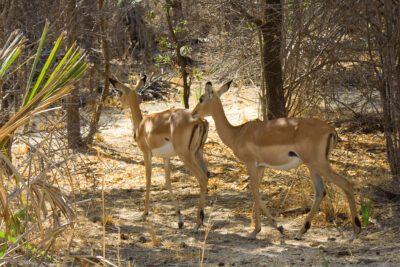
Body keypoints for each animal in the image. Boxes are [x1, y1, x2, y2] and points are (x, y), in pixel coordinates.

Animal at [109, 76, 209, 230]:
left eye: (121, 93)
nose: (119, 106)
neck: (142, 125)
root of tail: (199, 120)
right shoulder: (166, 158)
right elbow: (167, 182)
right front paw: (179, 220)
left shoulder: (146, 153)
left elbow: (148, 180)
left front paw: (144, 214)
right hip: (198, 153)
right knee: (207, 175)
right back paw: (201, 219)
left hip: (186, 156)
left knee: (202, 178)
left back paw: (197, 223)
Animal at [191, 81, 362, 241]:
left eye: (201, 98)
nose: (193, 113)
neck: (237, 133)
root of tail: (331, 130)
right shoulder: (261, 166)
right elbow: (257, 192)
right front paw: (264, 228)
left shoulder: (250, 163)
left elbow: (254, 191)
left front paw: (263, 229)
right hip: (313, 166)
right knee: (321, 191)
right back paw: (300, 232)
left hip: (318, 164)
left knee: (346, 183)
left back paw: (355, 232)